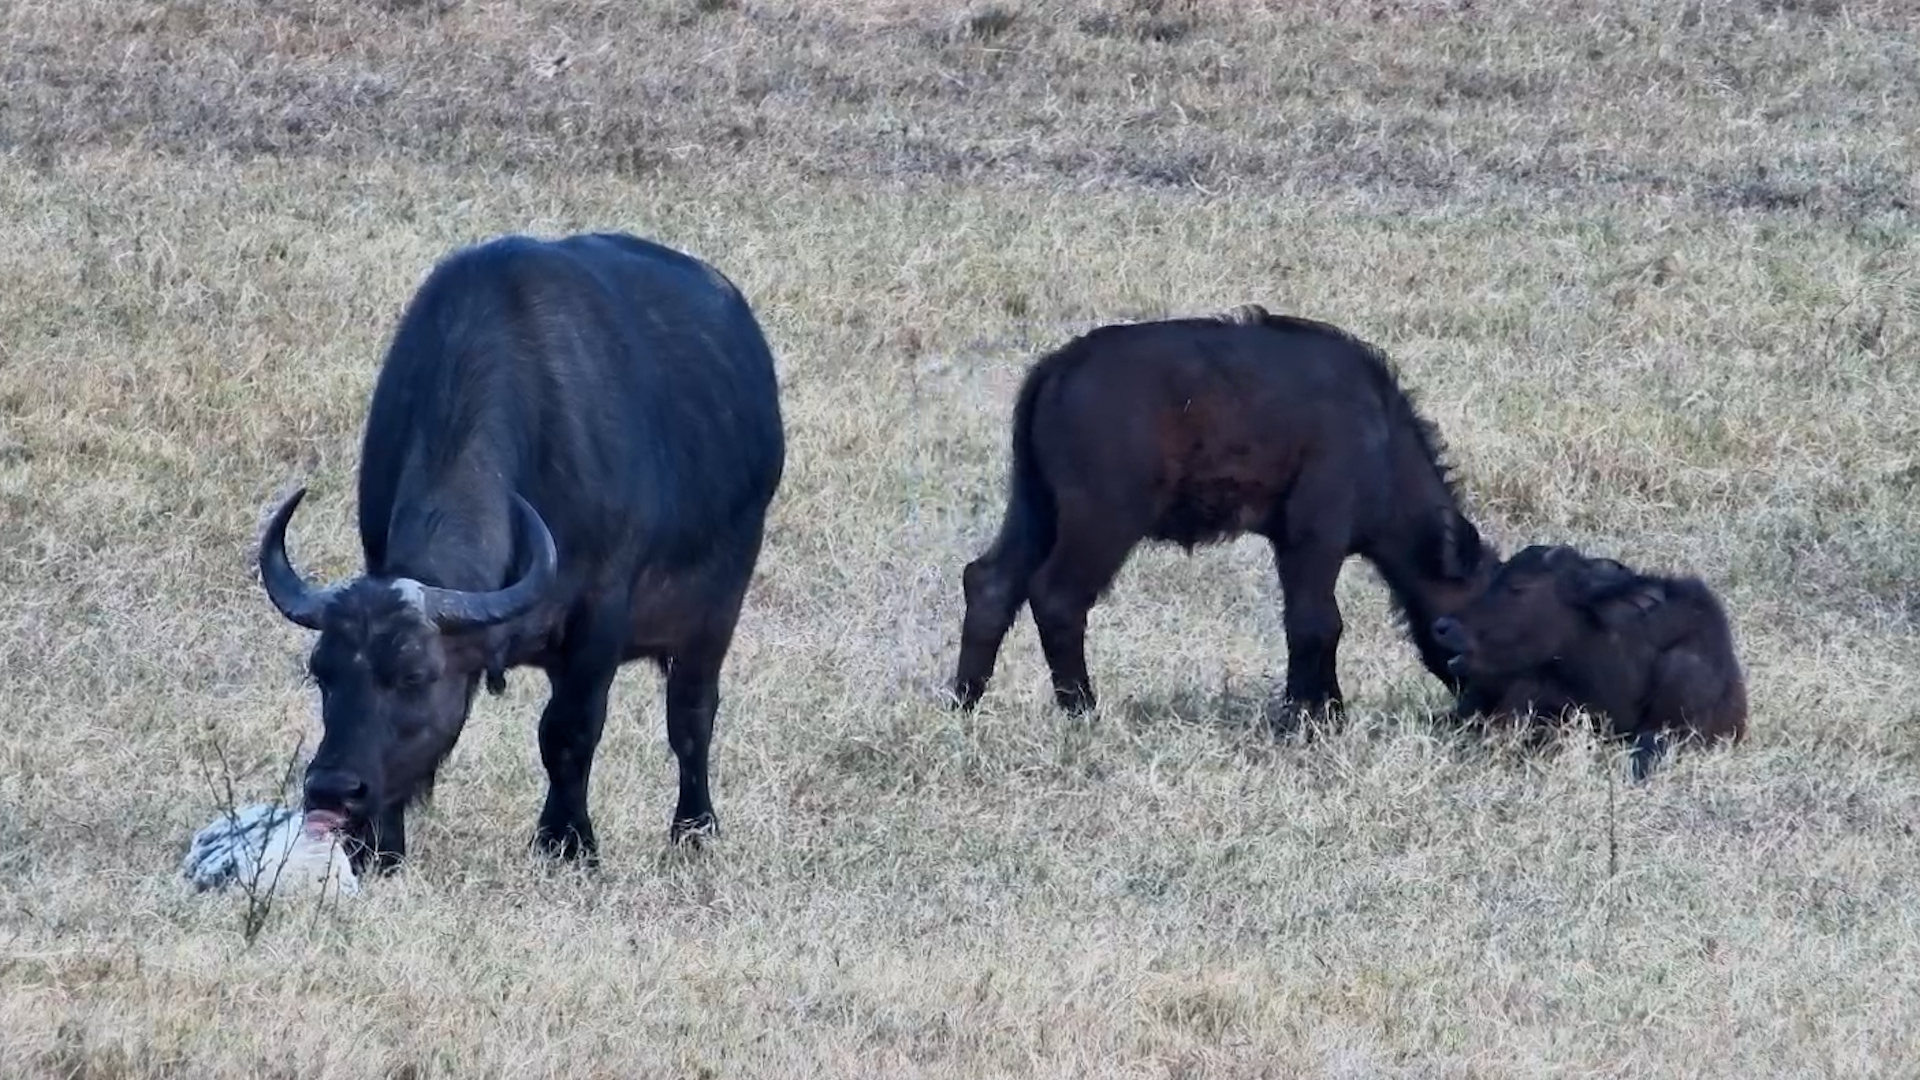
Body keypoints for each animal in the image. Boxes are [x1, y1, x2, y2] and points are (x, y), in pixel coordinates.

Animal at [256, 232, 785, 874]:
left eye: (413, 675)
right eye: (322, 673)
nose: (333, 789)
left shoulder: (600, 617)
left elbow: (568, 731)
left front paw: (567, 842)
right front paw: (378, 849)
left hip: (716, 613)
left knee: (692, 715)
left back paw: (695, 829)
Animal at [951, 304, 1501, 722]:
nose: (1483, 706)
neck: (1380, 436)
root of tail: (1058, 367)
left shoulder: (1291, 542)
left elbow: (1307, 623)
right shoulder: (1315, 537)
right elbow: (1318, 622)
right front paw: (1310, 718)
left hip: (1036, 509)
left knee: (991, 583)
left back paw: (963, 703)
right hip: (1102, 522)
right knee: (1057, 597)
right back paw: (1083, 711)